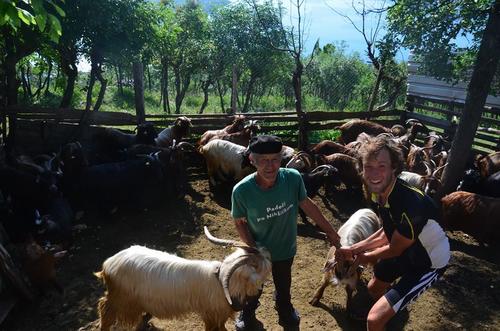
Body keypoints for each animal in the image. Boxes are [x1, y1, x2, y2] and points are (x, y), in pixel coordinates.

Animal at [95, 227, 272, 331]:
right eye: (257, 263)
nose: (269, 254)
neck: (222, 281)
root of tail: (109, 263)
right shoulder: (212, 314)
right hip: (121, 298)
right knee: (104, 308)